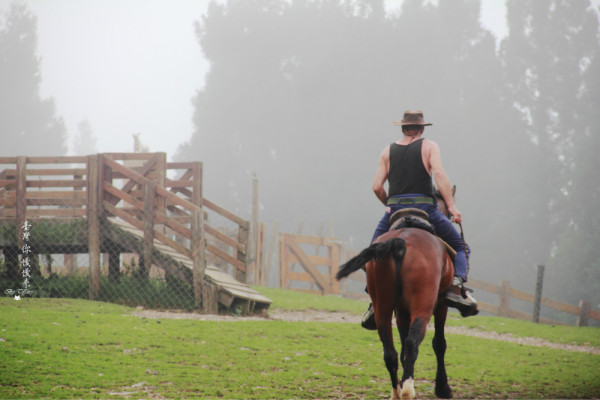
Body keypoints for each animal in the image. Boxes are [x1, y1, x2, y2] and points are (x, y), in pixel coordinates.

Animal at [340, 214, 452, 398]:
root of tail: (400, 241)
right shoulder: (441, 305)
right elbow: (439, 343)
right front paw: (443, 388)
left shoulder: (401, 311)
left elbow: (402, 349)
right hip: (423, 306)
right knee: (413, 343)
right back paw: (407, 390)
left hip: (382, 309)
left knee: (390, 353)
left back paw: (396, 392)